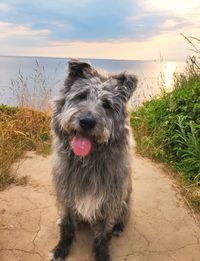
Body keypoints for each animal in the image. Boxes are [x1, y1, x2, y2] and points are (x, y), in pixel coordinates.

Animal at [50, 60, 138, 260]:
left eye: (107, 105)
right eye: (81, 96)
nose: (87, 122)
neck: (88, 162)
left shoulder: (108, 202)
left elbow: (103, 235)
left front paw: (102, 254)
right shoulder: (66, 195)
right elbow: (67, 226)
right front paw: (61, 249)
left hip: (126, 200)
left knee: (123, 215)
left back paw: (119, 227)